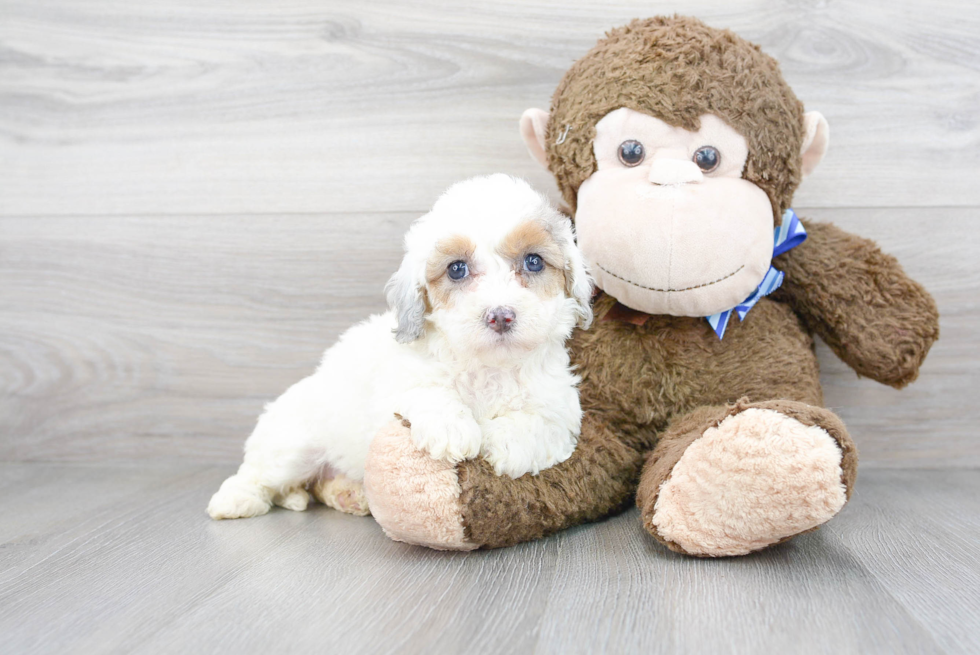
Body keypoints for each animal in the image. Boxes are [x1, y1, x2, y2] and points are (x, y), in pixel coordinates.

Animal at [207, 176, 588, 524]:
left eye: (534, 261)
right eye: (457, 269)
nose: (500, 316)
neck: (489, 367)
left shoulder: (560, 409)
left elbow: (539, 423)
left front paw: (500, 442)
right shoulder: (397, 382)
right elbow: (425, 390)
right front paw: (453, 429)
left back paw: (349, 494)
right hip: (293, 445)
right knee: (262, 474)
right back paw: (236, 500)